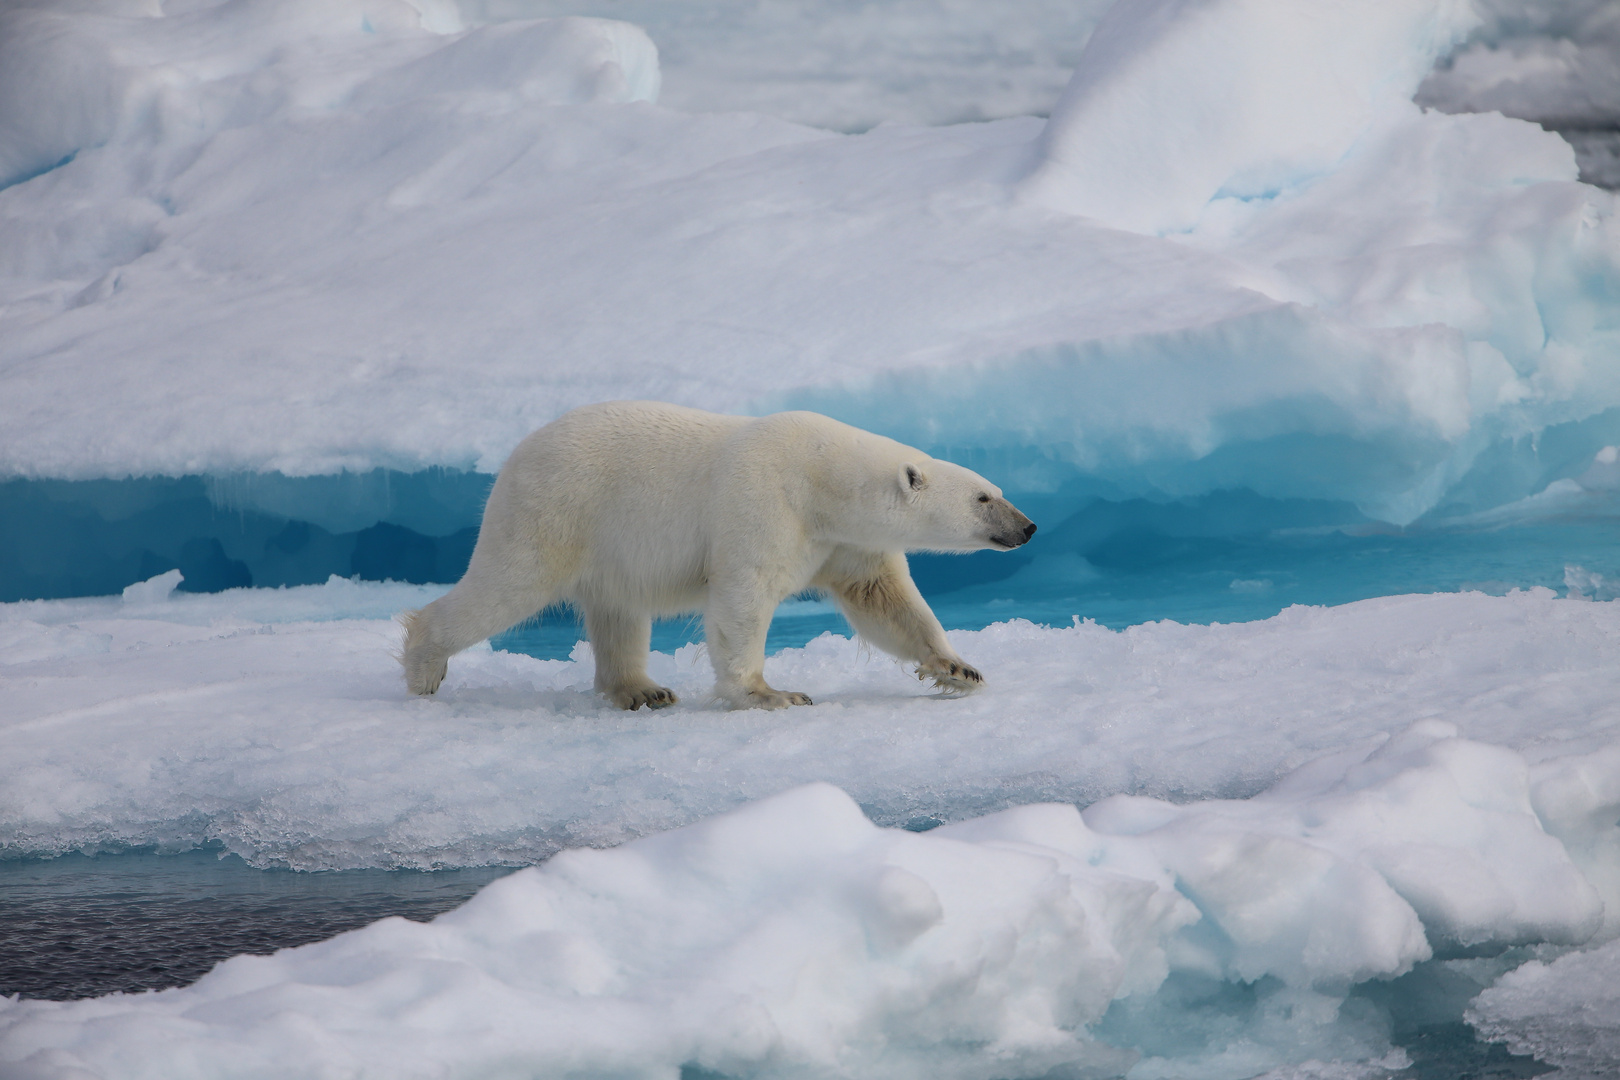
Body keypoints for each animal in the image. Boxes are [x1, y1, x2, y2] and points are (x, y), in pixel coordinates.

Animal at [403, 403, 1036, 709]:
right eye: (984, 499)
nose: (1028, 527)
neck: (821, 476)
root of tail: (516, 454)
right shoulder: (763, 501)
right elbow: (743, 597)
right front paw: (773, 694)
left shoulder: (843, 540)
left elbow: (885, 601)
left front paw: (959, 668)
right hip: (556, 509)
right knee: (507, 585)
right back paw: (423, 666)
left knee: (618, 613)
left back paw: (644, 690)